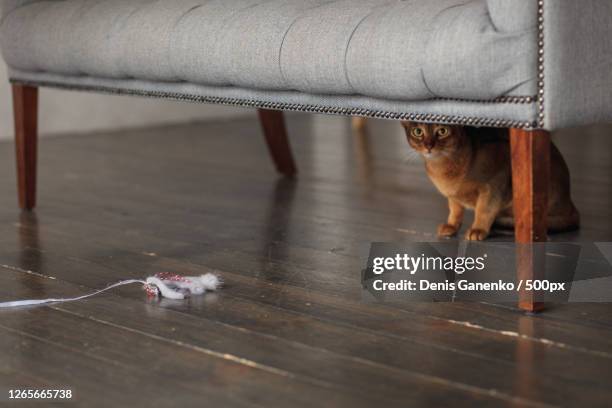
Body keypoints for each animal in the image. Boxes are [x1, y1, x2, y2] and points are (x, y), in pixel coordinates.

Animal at [402, 122, 580, 241]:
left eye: (442, 131)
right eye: (418, 132)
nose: (428, 145)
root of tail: (572, 206)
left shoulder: (495, 184)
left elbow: (484, 210)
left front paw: (478, 229)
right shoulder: (453, 196)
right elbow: (455, 210)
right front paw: (451, 226)